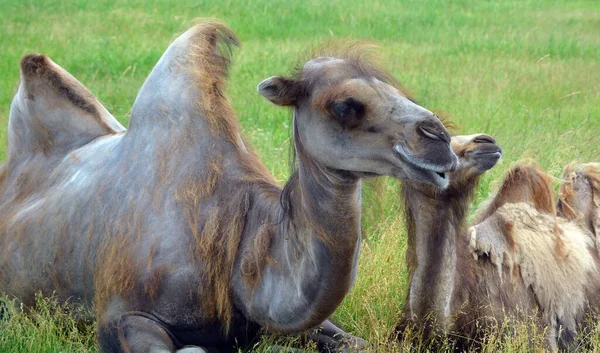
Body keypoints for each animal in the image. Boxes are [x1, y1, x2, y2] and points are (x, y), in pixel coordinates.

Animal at [1, 22, 460, 352]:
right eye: (345, 105)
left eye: (395, 89)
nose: (439, 140)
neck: (235, 234)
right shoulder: (121, 314)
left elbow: (356, 343)